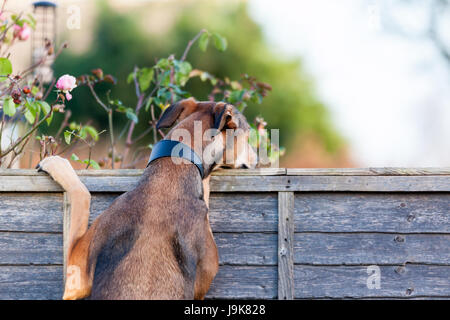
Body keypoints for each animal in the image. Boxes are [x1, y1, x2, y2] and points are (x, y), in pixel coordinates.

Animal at [37, 98, 256, 300]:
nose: (258, 158)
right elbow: (82, 193)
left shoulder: (76, 276)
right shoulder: (76, 277)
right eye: (248, 137)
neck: (175, 165)